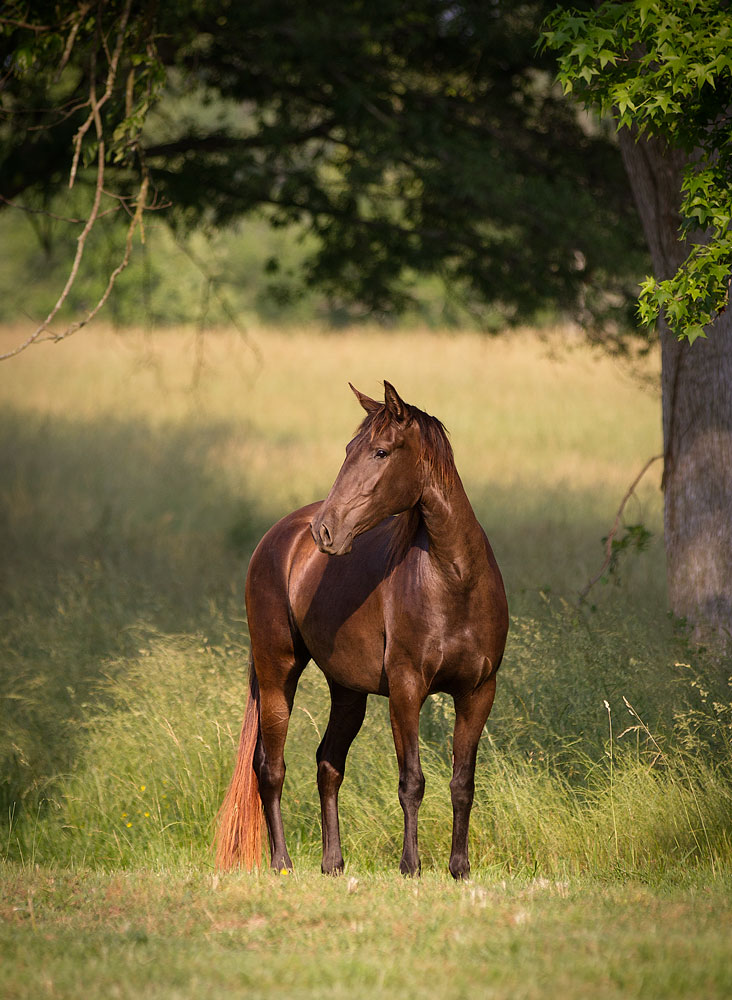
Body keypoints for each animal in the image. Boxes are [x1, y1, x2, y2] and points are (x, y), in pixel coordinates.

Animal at [214, 380, 506, 876]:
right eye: (350, 449)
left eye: (381, 452)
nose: (325, 531)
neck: (455, 582)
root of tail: (280, 535)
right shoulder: (407, 689)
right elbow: (412, 781)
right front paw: (411, 867)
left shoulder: (478, 693)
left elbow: (462, 783)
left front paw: (459, 869)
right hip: (277, 674)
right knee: (270, 768)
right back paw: (282, 862)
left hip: (347, 691)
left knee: (328, 763)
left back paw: (333, 862)